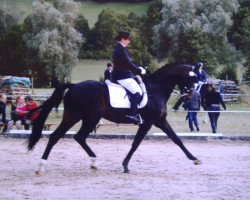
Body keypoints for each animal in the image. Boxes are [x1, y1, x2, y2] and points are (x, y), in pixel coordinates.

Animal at [27, 63, 202, 174]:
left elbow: (176, 139)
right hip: (89, 118)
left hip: (75, 116)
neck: (156, 89)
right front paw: (125, 166)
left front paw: (194, 159)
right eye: (192, 78)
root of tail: (74, 86)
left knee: (61, 137)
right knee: (76, 136)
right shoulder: (148, 123)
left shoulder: (160, 121)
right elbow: (135, 144)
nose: (190, 95)